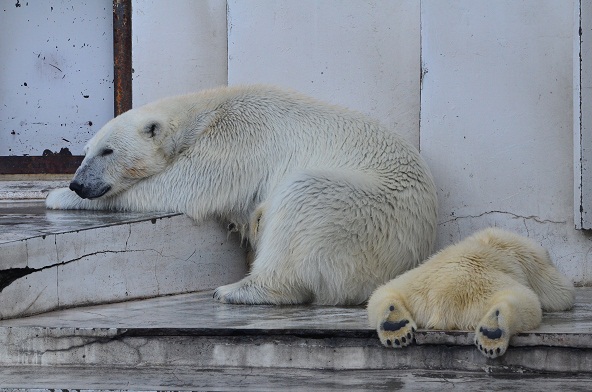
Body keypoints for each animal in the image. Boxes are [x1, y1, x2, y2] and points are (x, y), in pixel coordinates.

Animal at [46, 85, 438, 306]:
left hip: (366, 210)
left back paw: (238, 291)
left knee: (302, 200)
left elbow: (186, 185)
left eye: (107, 151)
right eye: (86, 150)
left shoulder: (236, 140)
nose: (78, 183)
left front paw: (57, 195)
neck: (206, 111)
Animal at [368, 227, 576, 358]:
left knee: (381, 294)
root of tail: (444, 299)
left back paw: (394, 326)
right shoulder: (531, 260)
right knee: (524, 302)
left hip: (413, 284)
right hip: (487, 289)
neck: (491, 242)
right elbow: (560, 292)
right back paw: (493, 332)